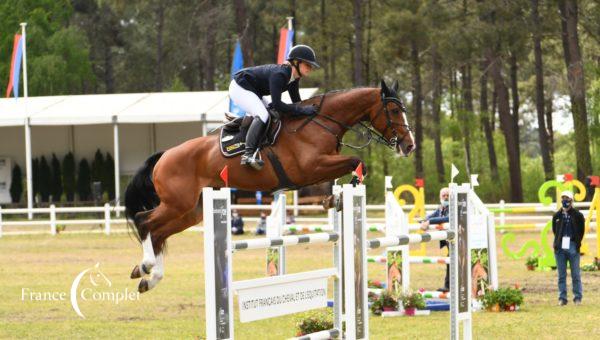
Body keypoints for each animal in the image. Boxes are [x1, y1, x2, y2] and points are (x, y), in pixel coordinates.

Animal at [125, 79, 418, 292]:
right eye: (394, 110)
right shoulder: (311, 167)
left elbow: (349, 171)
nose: (409, 145)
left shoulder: (320, 168)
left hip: (191, 211)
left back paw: (147, 275)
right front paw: (339, 195)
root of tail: (164, 155)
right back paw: (147, 265)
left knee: (159, 232)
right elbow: (358, 163)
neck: (321, 122)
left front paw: (333, 199)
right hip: (178, 203)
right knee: (144, 221)